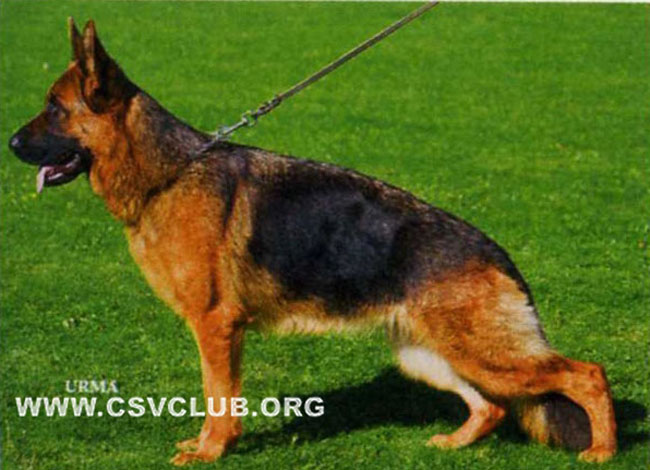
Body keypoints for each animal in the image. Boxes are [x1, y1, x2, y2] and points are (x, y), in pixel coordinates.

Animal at [8, 19, 617, 465]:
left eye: (55, 108)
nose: (10, 142)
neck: (168, 173)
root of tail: (498, 255)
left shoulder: (216, 326)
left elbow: (218, 395)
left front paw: (211, 451)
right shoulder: (220, 330)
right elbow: (217, 394)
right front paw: (211, 445)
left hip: (483, 354)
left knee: (587, 374)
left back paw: (603, 451)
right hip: (429, 354)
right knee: (490, 408)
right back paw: (456, 443)